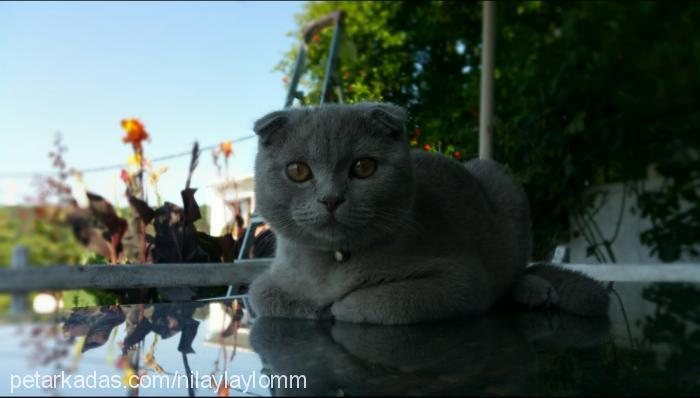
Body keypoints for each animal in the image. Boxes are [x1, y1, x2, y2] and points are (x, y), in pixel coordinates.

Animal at [246, 102, 608, 324]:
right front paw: (315, 308)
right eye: (298, 171)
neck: (333, 263)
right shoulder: (271, 277)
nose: (331, 199)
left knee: (516, 271)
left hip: (504, 186)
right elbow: (260, 294)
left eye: (364, 167)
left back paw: (535, 290)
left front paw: (341, 307)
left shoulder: (461, 279)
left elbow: (387, 300)